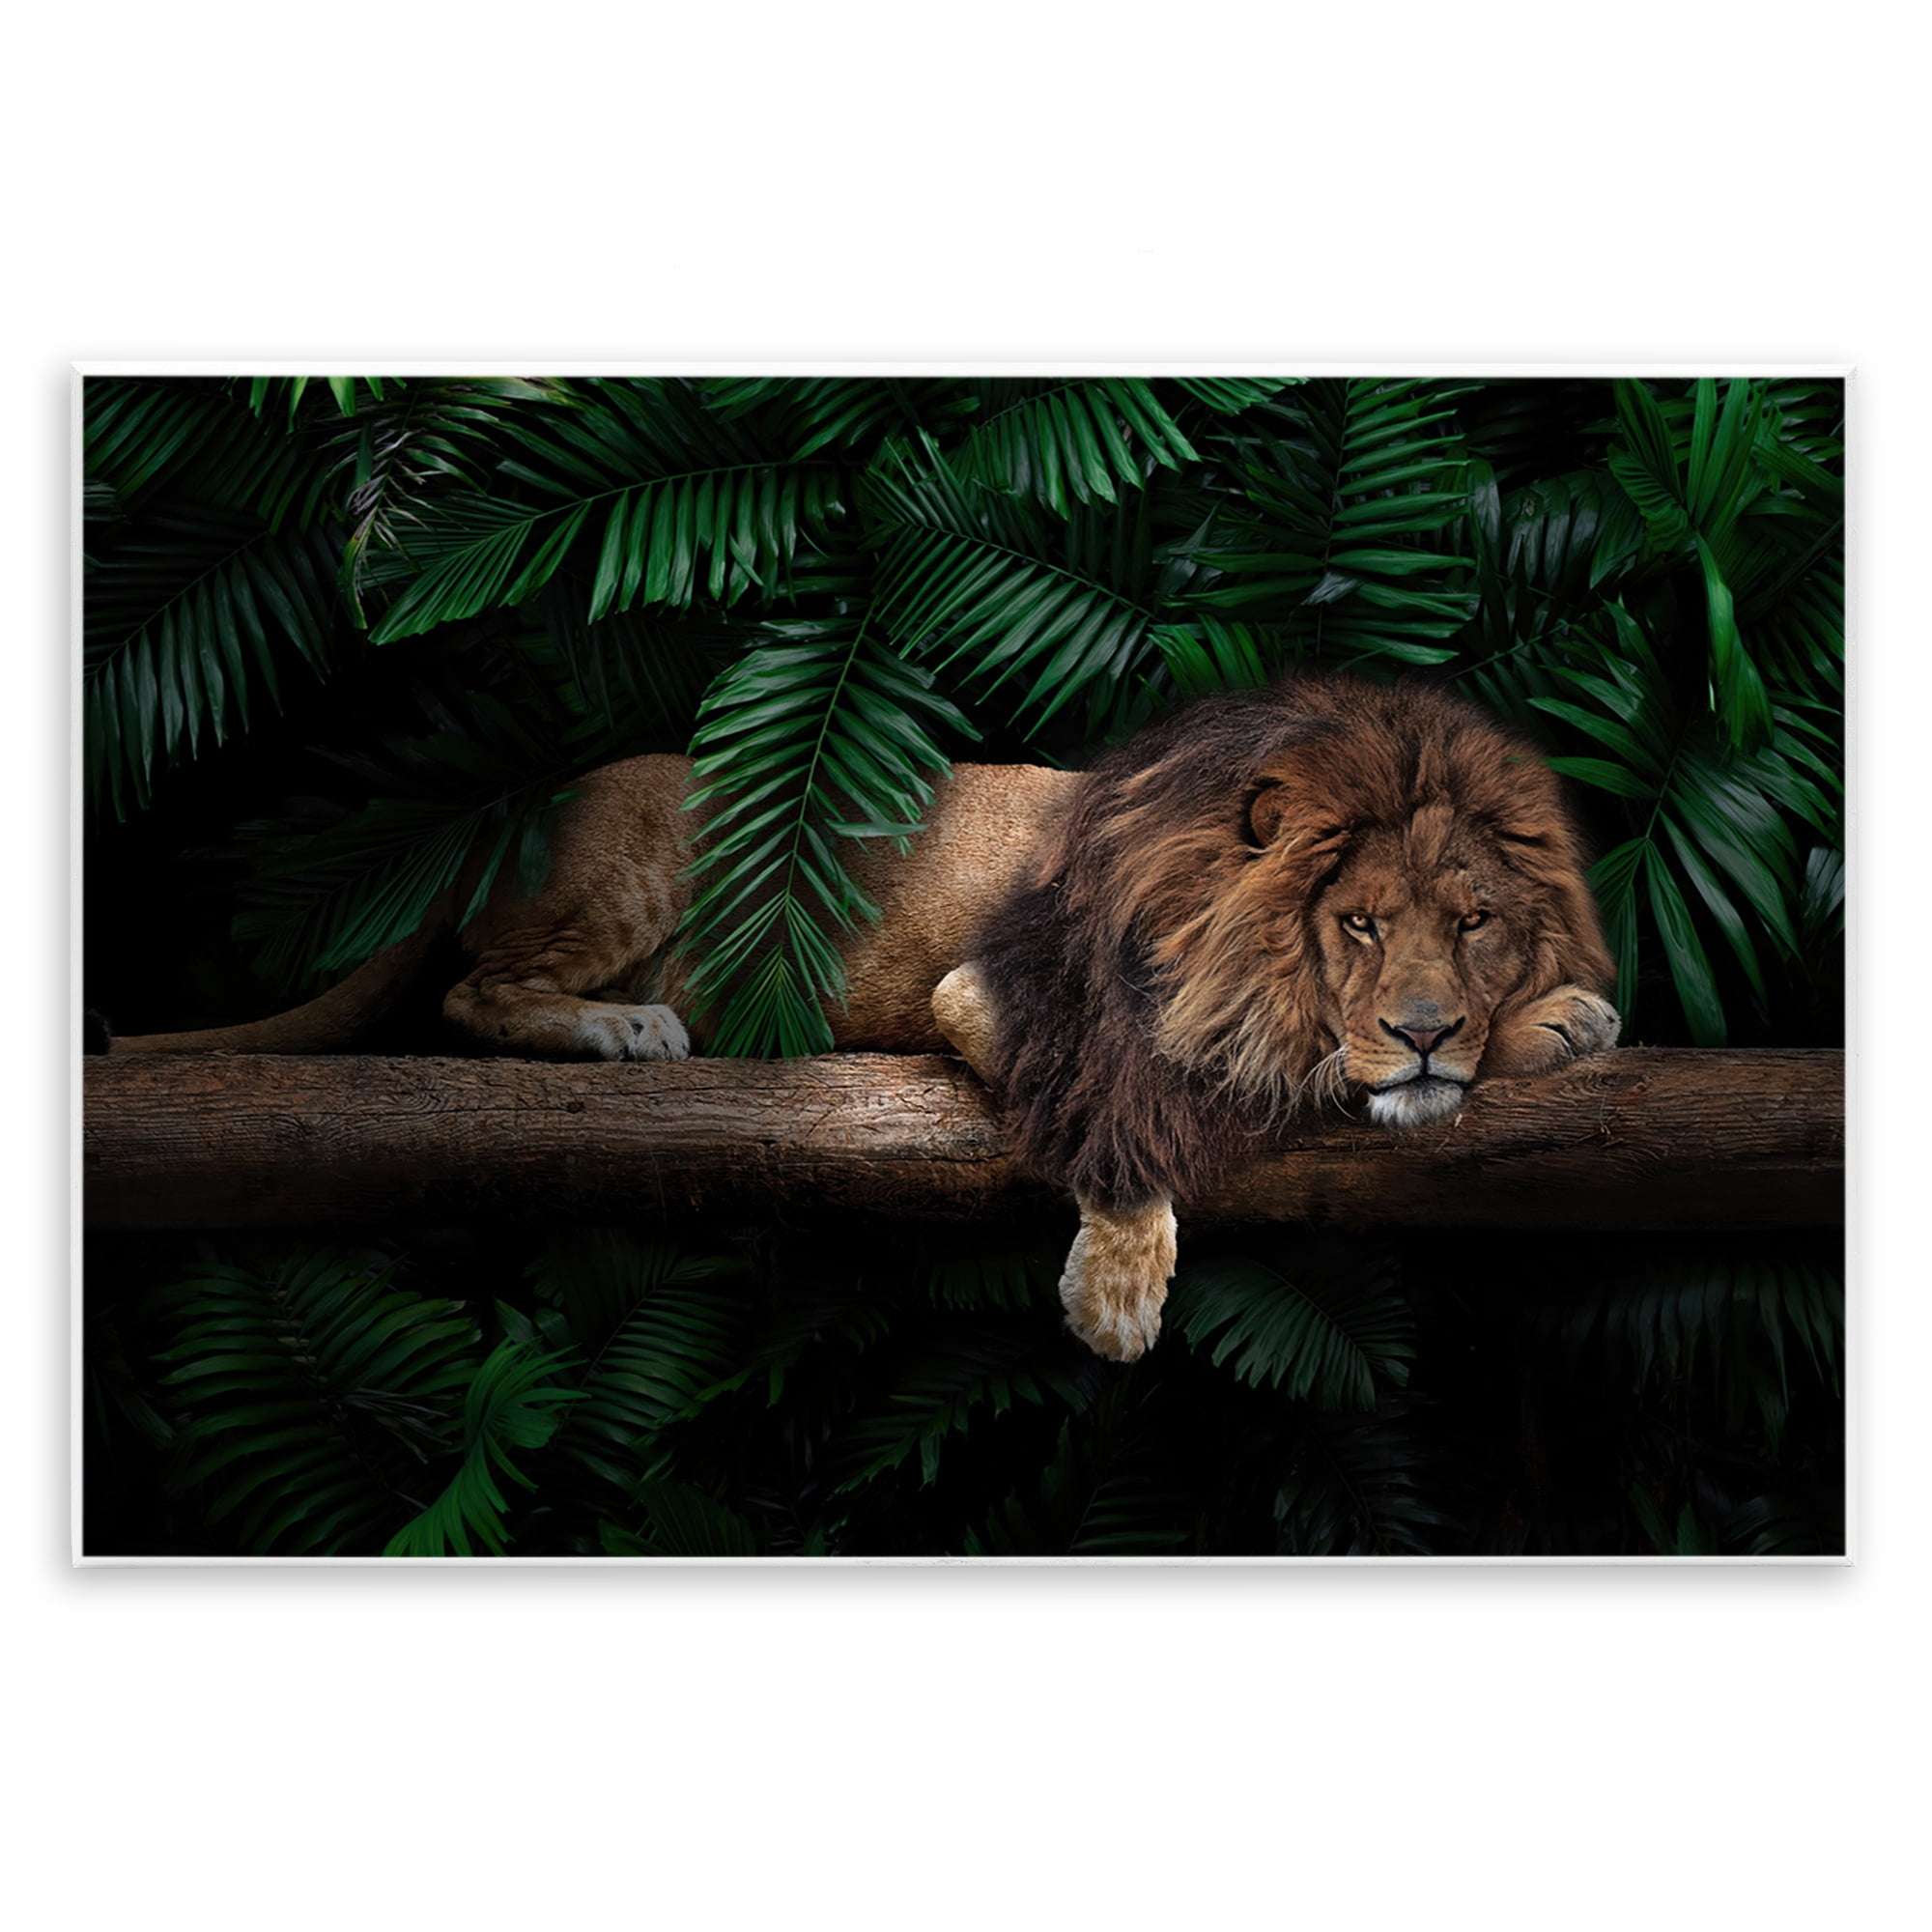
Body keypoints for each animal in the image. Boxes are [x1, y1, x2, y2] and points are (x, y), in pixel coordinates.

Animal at [108, 673, 1619, 1362]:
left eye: (1471, 922)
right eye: (1354, 923)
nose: (1421, 1026)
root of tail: (514, 813)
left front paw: (1552, 1022)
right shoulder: (997, 996)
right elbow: (1180, 1099)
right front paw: (1117, 1294)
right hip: (642, 861)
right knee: (477, 989)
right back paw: (626, 1032)